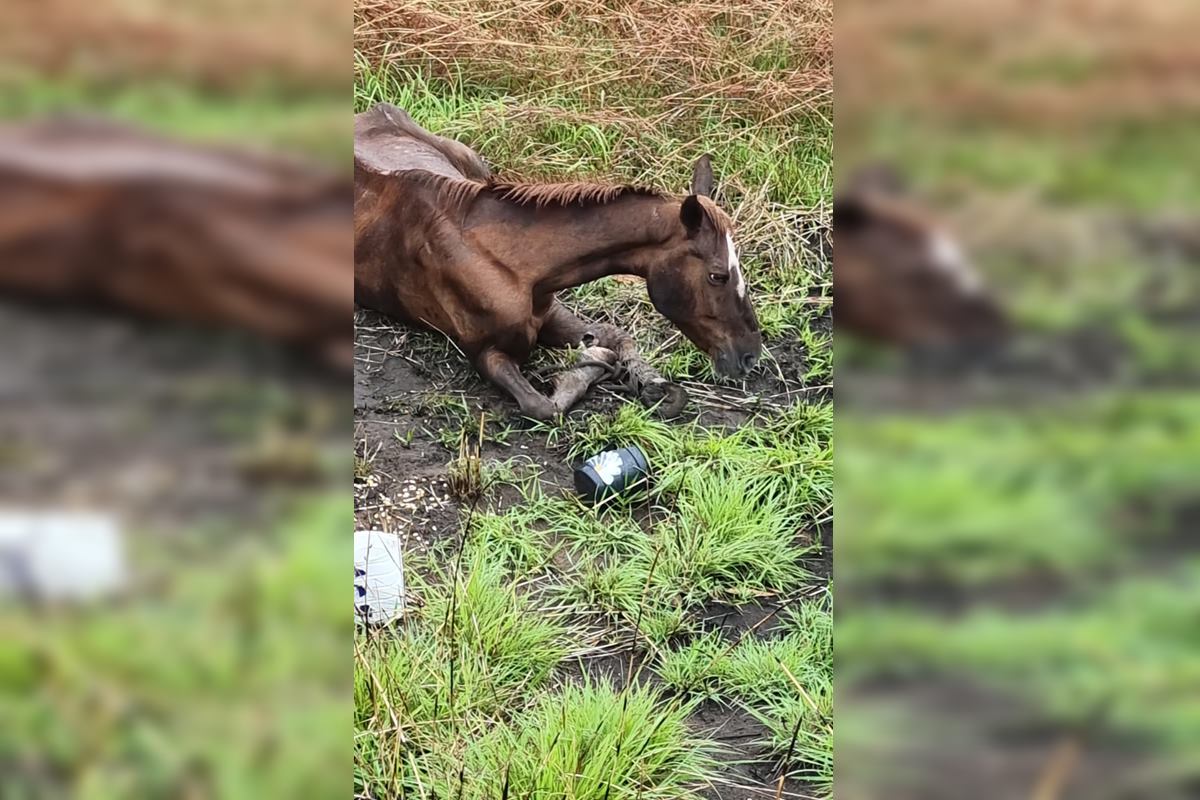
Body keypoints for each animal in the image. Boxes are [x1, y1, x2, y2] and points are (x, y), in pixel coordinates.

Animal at [354, 103, 761, 420]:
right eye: (717, 275)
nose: (749, 357)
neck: (512, 262)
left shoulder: (550, 313)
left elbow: (619, 337)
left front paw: (649, 382)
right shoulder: (485, 353)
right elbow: (544, 406)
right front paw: (589, 363)